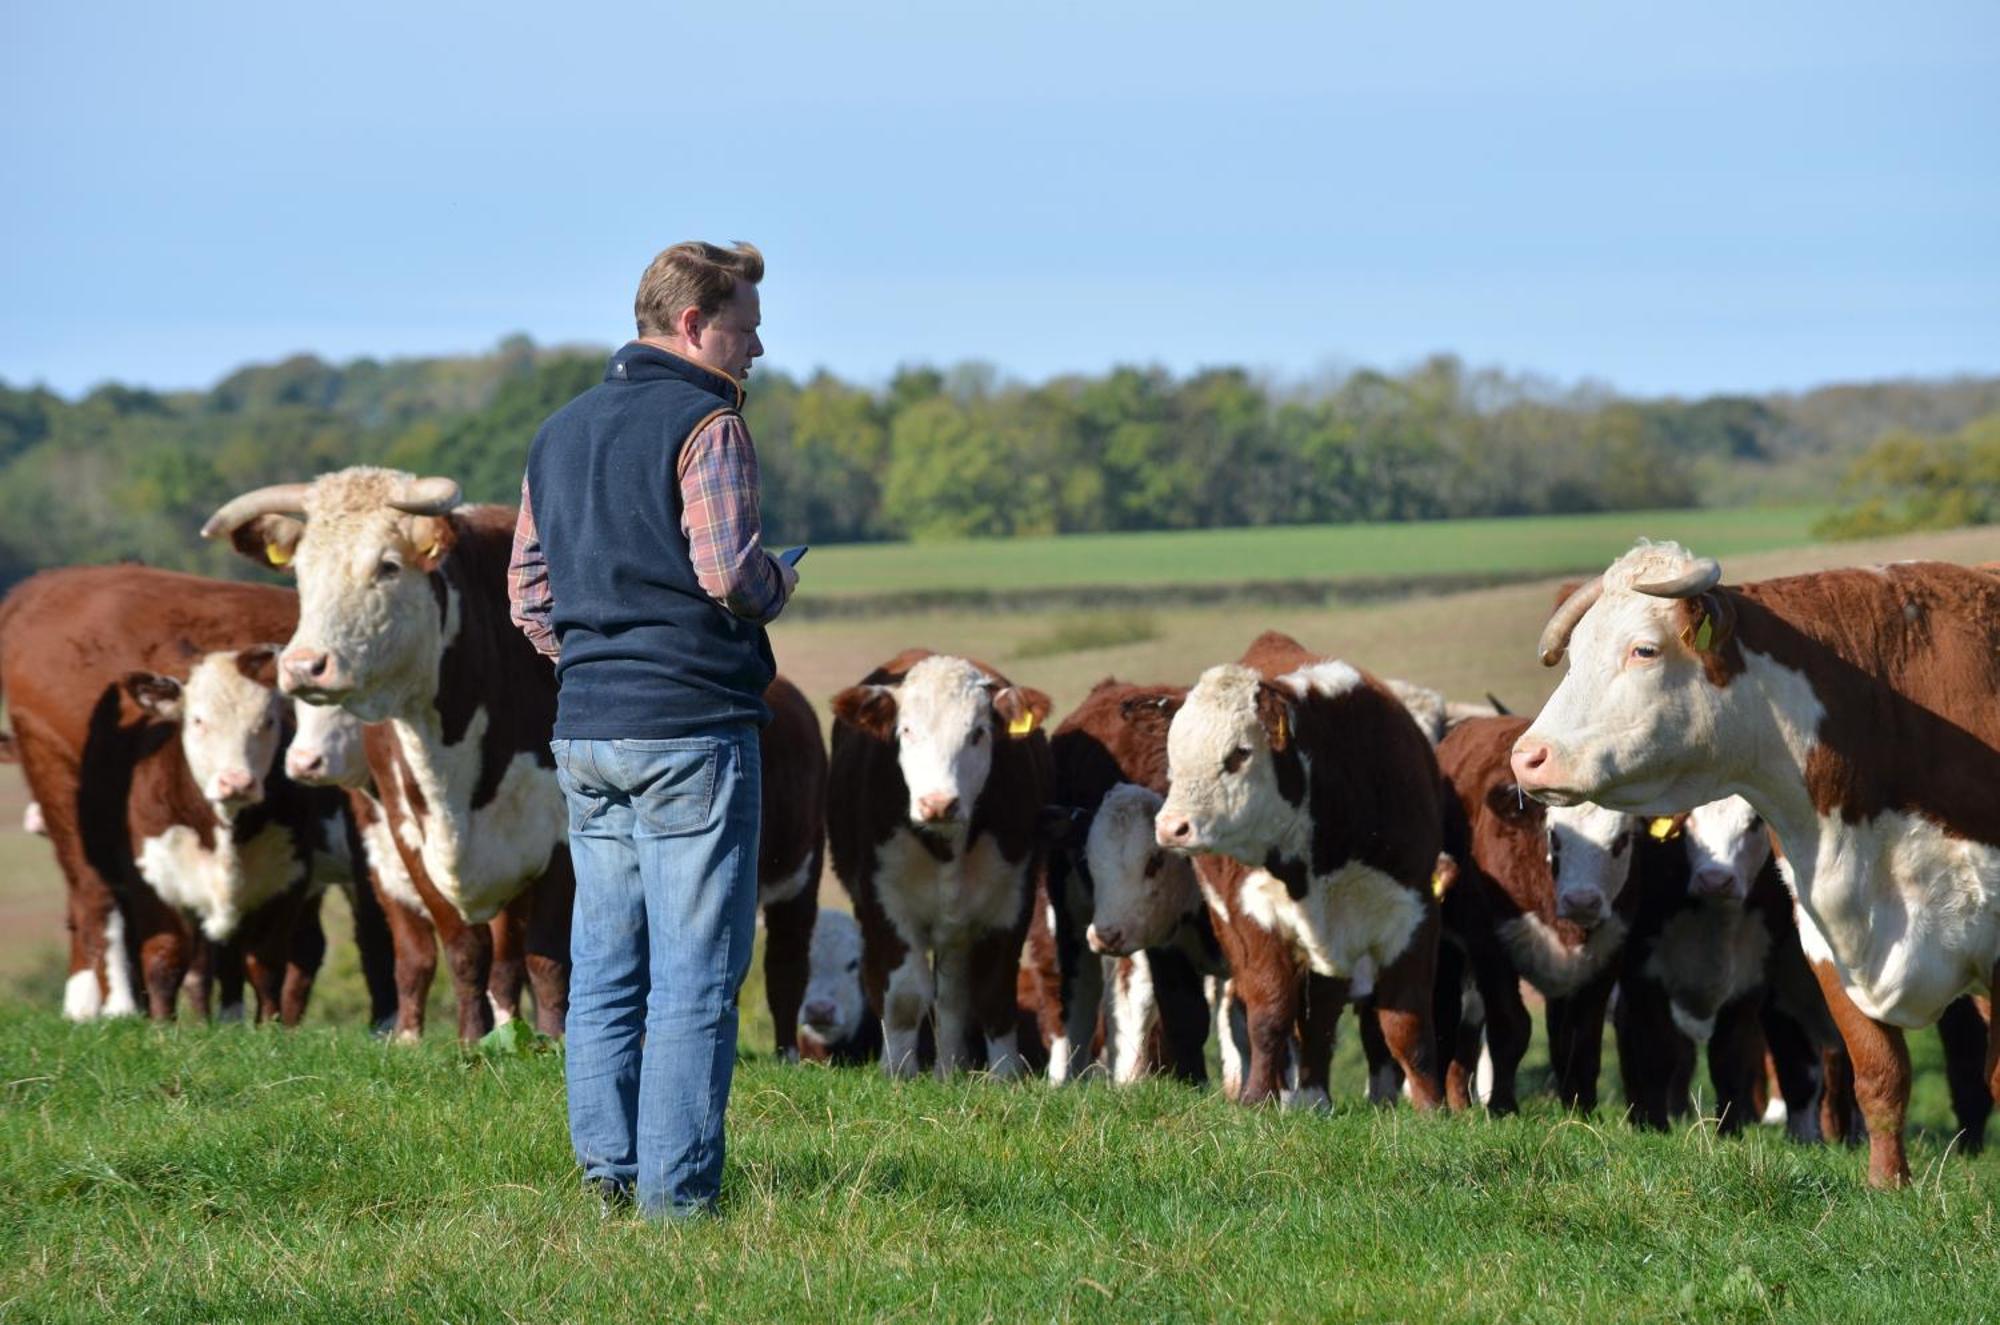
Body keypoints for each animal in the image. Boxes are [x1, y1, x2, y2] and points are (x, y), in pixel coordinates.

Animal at [204, 472, 576, 1040]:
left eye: (388, 566)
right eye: (302, 572)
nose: (305, 666)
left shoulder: (561, 836)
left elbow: (550, 959)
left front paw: (555, 1041)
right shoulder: (408, 837)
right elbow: (465, 950)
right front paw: (471, 1041)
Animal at [824, 652, 1056, 1080]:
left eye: (978, 733)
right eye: (906, 730)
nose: (938, 803)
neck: (945, 845)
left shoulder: (1010, 901)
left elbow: (993, 992)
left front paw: (1005, 1076)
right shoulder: (885, 905)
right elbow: (903, 995)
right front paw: (898, 1072)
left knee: (953, 998)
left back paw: (949, 1070)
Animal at [1440, 720, 1640, 1112]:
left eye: (1622, 841)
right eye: (1554, 838)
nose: (1582, 902)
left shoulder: (1608, 951)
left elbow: (1581, 1038)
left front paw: (1581, 1107)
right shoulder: (1489, 941)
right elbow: (1510, 1027)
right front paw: (1502, 1107)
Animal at [1512, 544, 2000, 1184]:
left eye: (1644, 649)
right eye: (1575, 653)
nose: (1527, 756)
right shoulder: (1826, 937)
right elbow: (1879, 1074)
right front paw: (1887, 1186)